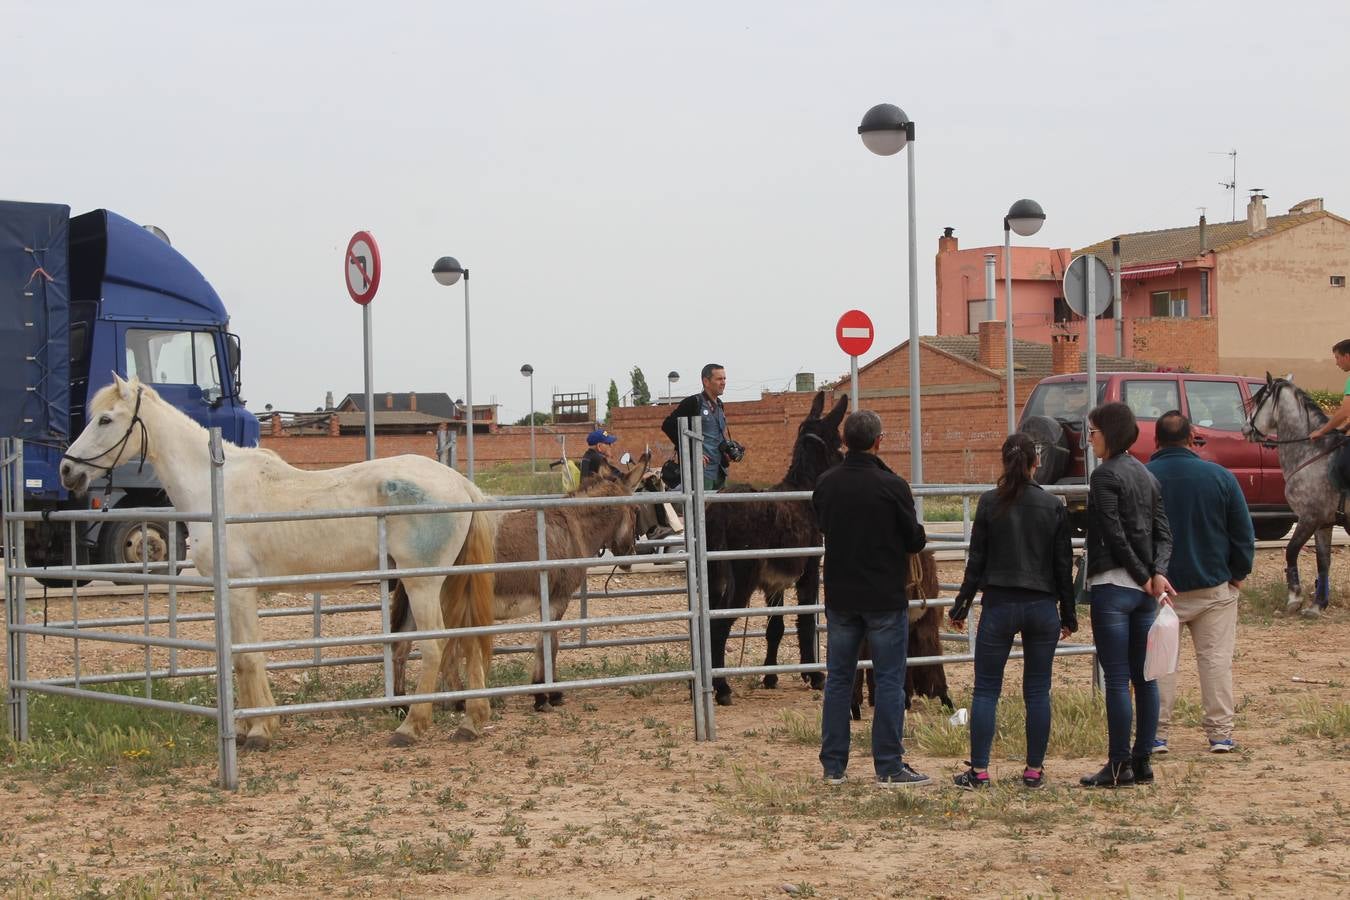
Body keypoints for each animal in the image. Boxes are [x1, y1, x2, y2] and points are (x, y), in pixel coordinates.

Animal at [60, 372, 496, 744]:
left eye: (105, 419)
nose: (67, 470)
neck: (215, 486)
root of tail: (458, 483)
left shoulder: (239, 589)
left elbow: (249, 659)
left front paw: (258, 732)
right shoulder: (231, 593)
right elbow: (241, 657)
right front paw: (254, 726)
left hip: (422, 582)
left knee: (436, 644)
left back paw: (411, 726)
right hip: (446, 580)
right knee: (469, 639)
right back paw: (471, 722)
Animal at [1242, 372, 1339, 612]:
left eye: (1259, 400)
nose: (1245, 429)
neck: (1313, 454)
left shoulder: (1309, 517)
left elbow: (1291, 551)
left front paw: (1294, 596)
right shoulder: (1324, 523)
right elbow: (1323, 561)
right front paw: (1318, 604)